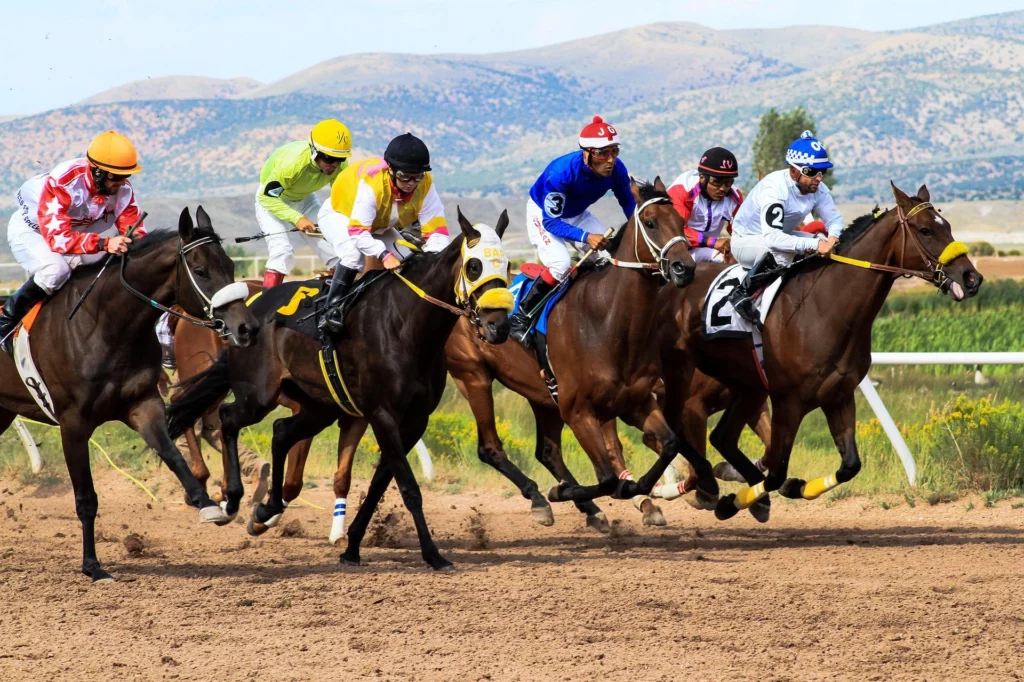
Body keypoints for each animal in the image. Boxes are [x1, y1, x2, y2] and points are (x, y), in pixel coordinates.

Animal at [0, 207, 259, 582]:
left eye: (231, 265)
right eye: (200, 271)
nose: (247, 328)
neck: (105, 326)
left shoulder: (143, 405)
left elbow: (173, 455)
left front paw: (209, 505)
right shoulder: (73, 423)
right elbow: (86, 498)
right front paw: (93, 566)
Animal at [166, 209, 514, 570]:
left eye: (507, 265)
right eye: (474, 266)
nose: (498, 326)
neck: (406, 324)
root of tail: (245, 315)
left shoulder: (413, 420)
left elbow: (378, 485)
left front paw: (352, 545)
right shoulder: (382, 414)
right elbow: (408, 488)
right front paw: (432, 554)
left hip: (318, 405)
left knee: (280, 431)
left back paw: (266, 508)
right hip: (258, 394)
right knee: (227, 418)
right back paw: (231, 498)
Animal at [654, 183, 983, 520]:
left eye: (948, 226)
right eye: (925, 230)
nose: (972, 278)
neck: (824, 309)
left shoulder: (839, 395)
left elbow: (849, 465)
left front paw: (790, 489)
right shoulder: (788, 401)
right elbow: (776, 472)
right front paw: (732, 500)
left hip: (748, 388)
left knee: (722, 437)